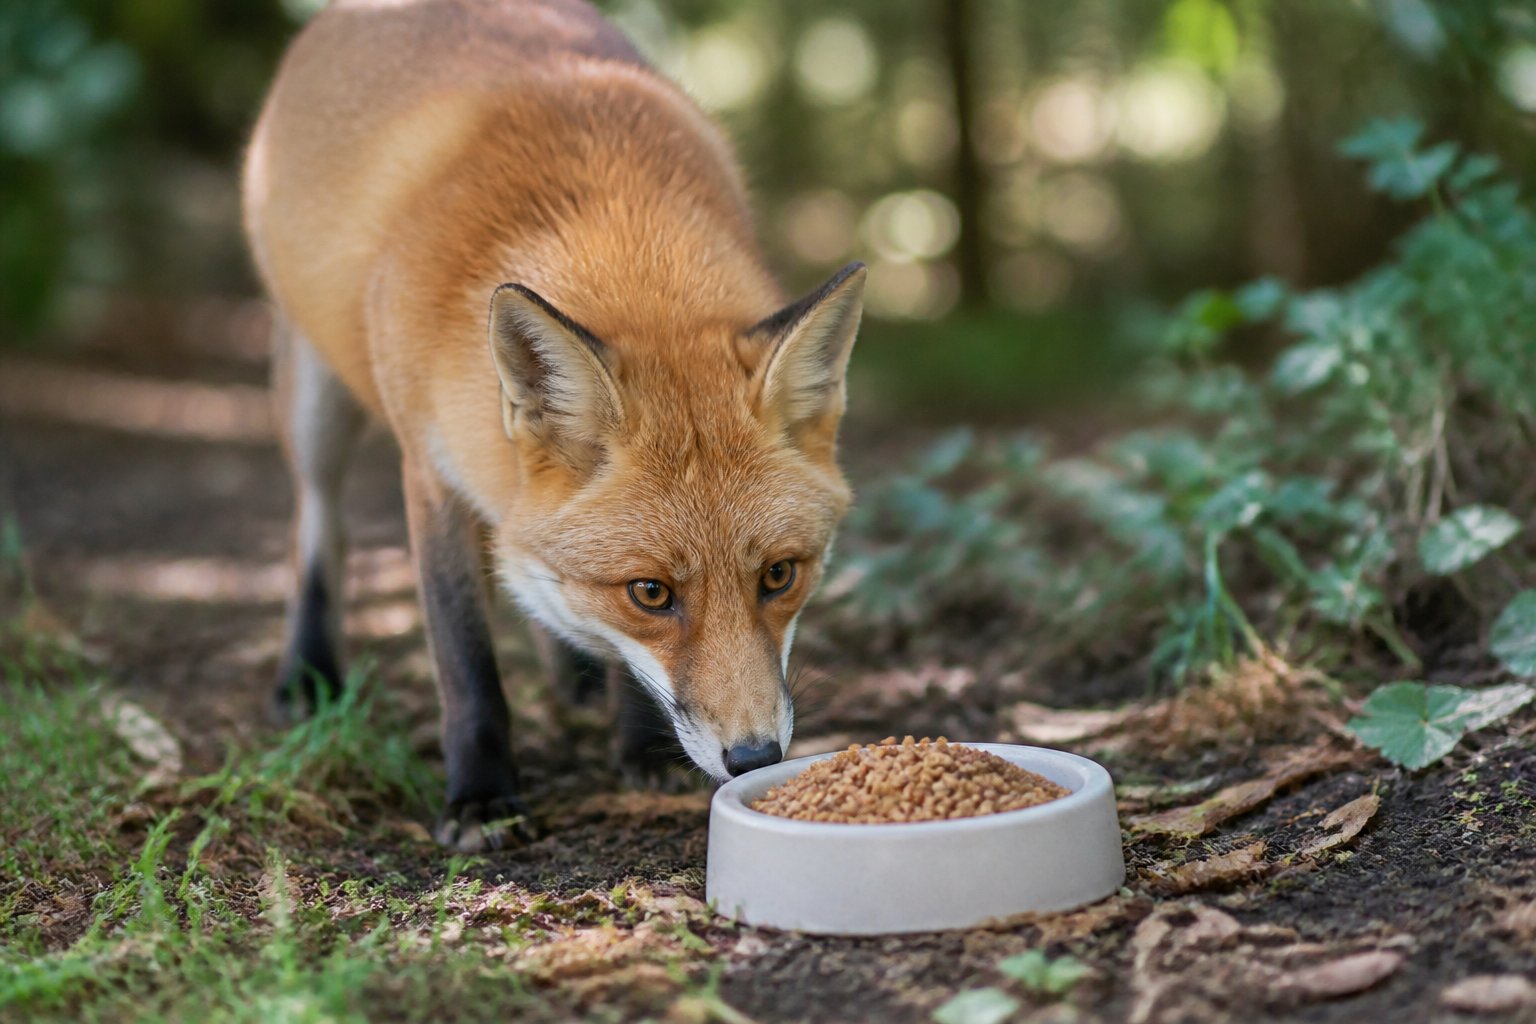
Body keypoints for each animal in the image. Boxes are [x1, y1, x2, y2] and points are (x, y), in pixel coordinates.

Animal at [241, 0, 866, 850]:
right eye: (651, 593)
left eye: (779, 575)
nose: (754, 757)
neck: (613, 220)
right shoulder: (430, 475)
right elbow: (466, 662)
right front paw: (481, 797)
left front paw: (640, 744)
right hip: (315, 396)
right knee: (318, 526)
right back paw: (308, 674)